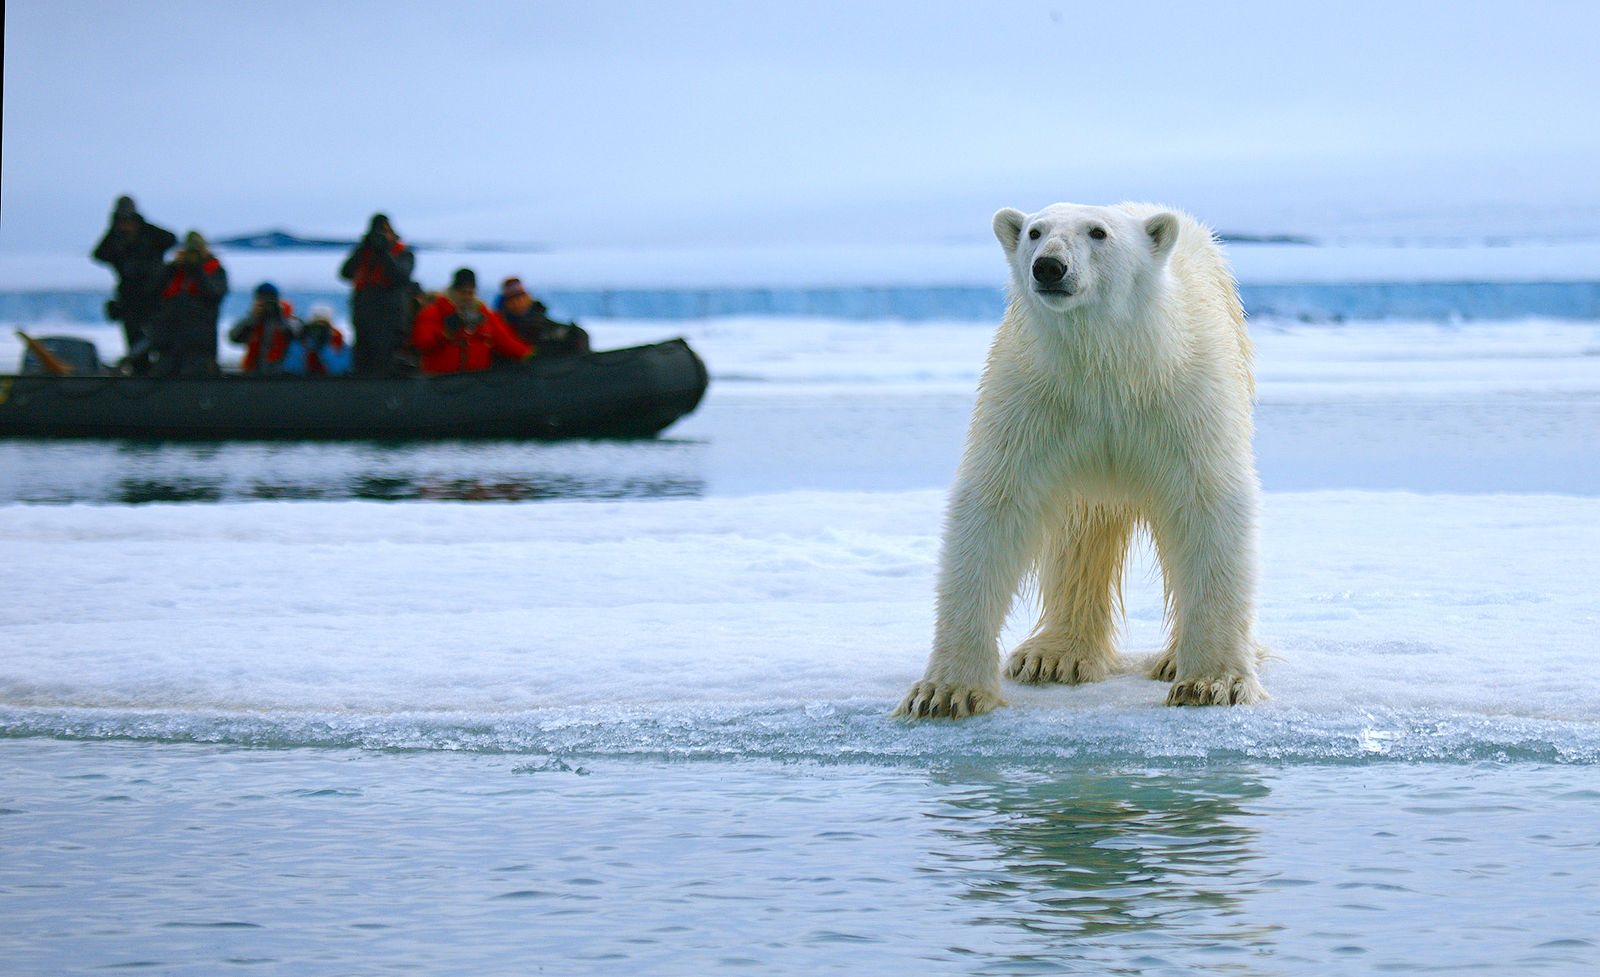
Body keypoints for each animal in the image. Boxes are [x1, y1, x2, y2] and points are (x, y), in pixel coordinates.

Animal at [896, 200, 1267, 719]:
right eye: (1035, 231)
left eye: (1098, 232)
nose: (1049, 266)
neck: (1108, 367)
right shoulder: (1035, 399)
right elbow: (994, 507)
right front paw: (944, 691)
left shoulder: (1184, 397)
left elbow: (1206, 504)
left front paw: (1214, 683)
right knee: (1079, 533)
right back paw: (1052, 656)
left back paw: (1171, 657)